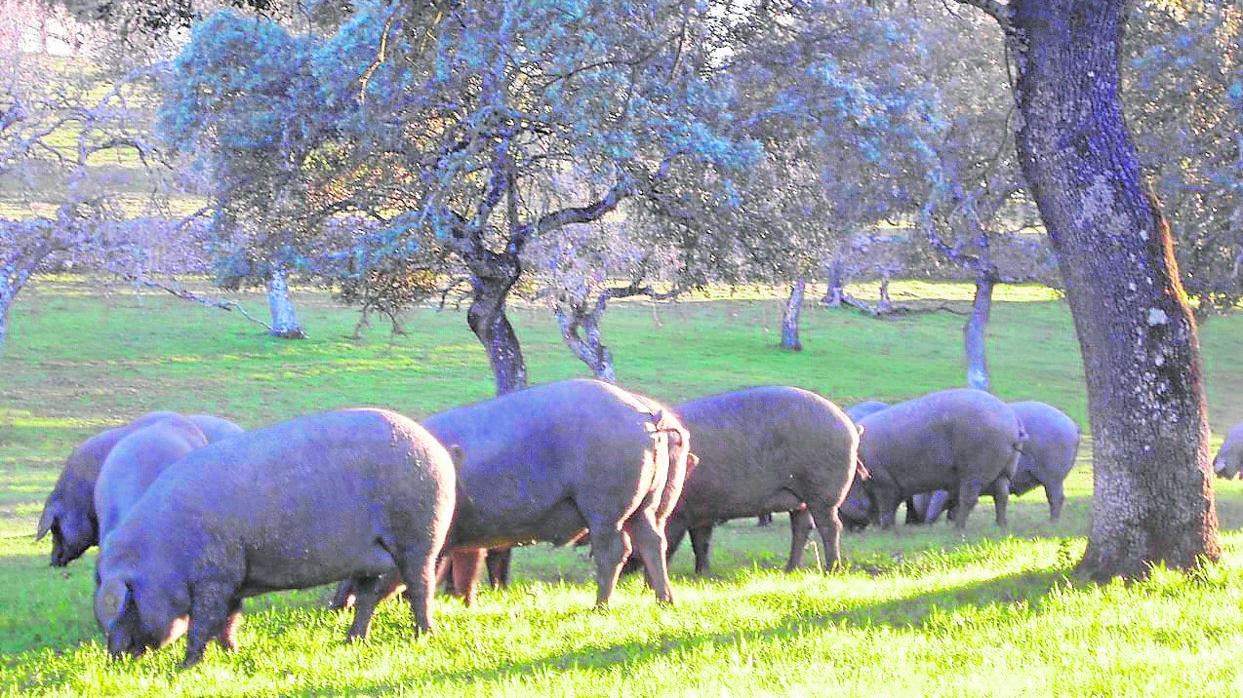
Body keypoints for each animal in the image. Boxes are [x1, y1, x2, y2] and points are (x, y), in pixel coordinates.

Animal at [94, 407, 457, 670]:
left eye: (128, 607)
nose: (114, 659)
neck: (164, 553)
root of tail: (438, 450)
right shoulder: (235, 576)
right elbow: (229, 618)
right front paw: (231, 653)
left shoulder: (215, 577)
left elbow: (204, 622)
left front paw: (186, 667)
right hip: (372, 557)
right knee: (367, 597)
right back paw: (352, 641)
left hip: (420, 534)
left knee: (420, 587)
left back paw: (423, 635)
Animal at [666, 382, 860, 573]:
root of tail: (850, 426)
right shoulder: (701, 509)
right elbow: (700, 541)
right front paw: (702, 574)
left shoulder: (681, 512)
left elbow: (671, 542)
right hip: (802, 498)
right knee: (802, 527)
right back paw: (790, 569)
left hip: (823, 492)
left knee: (830, 526)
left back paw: (831, 570)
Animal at [850, 385, 1024, 526]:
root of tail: (1012, 422)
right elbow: (880, 509)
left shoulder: (883, 484)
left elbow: (885, 509)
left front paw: (884, 529)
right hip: (1005, 471)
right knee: (1001, 495)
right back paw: (1000, 525)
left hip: (975, 470)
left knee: (969, 498)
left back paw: (957, 528)